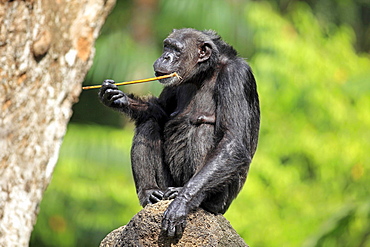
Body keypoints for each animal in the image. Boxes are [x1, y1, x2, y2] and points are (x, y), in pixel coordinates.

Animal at [99, 28, 260, 236]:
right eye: (166, 46)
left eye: (176, 49)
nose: (165, 56)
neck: (204, 73)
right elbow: (160, 110)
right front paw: (118, 98)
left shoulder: (236, 75)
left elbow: (232, 139)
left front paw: (180, 205)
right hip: (165, 183)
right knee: (149, 122)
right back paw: (149, 192)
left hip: (222, 202)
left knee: (203, 130)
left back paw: (187, 195)